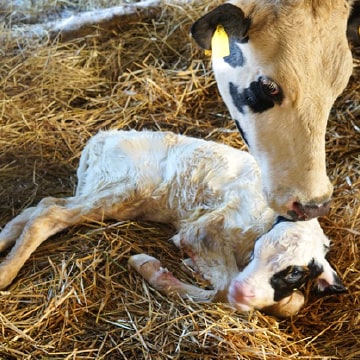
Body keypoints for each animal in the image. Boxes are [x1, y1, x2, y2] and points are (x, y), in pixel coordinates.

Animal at [0, 131, 346, 316]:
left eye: (295, 272)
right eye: (259, 249)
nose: (243, 290)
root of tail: (101, 139)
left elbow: (292, 303)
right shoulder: (199, 232)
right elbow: (222, 292)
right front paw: (152, 268)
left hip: (108, 193)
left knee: (40, 206)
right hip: (121, 189)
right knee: (47, 215)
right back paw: (6, 273)